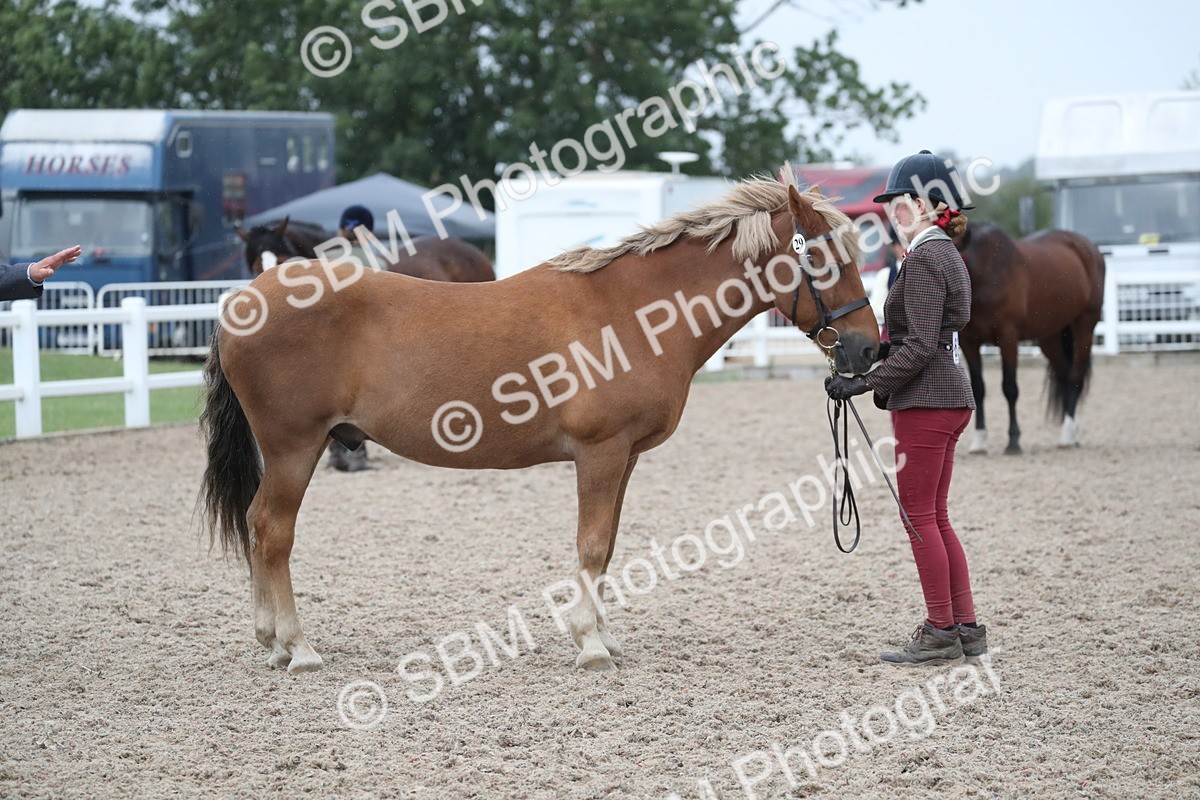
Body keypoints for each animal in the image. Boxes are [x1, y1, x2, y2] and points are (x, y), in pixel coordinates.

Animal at [200, 171, 879, 675]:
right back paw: (298, 649)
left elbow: (608, 547)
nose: (867, 349)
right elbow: (592, 543)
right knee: (272, 531)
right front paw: (590, 645)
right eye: (826, 257)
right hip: (294, 446)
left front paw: (605, 634)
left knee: (258, 528)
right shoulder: (601, 452)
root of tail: (243, 300)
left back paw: (272, 642)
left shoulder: (625, 456)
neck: (635, 312)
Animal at [954, 222, 1105, 455]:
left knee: (1075, 377)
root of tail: (1089, 248)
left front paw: (1013, 441)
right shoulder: (968, 342)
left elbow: (1010, 388)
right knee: (1064, 376)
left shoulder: (1008, 338)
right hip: (1049, 336)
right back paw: (1072, 433)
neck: (985, 272)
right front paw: (979, 441)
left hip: (1085, 325)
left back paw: (1067, 435)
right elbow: (978, 389)